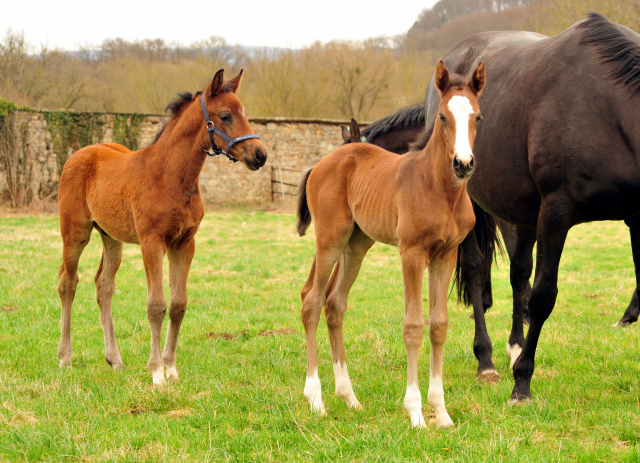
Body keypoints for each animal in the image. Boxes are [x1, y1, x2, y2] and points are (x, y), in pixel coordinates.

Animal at [55, 69, 264, 386]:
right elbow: (156, 305)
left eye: (245, 113)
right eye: (226, 115)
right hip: (75, 233)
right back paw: (65, 358)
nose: (259, 155)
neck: (170, 175)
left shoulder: (184, 243)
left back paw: (115, 361)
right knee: (68, 282)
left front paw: (171, 369)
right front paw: (156, 373)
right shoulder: (151, 242)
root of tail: (78, 155)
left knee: (104, 285)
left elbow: (178, 305)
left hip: (111, 237)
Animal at [296, 60, 484, 428]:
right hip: (330, 239)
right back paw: (316, 399)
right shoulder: (411, 252)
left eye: (478, 117)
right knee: (311, 299)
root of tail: (323, 162)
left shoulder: (446, 254)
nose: (463, 164)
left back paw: (349, 397)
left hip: (356, 244)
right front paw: (415, 413)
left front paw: (441, 412)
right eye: (442, 117)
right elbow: (413, 325)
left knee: (334, 303)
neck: (440, 190)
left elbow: (438, 324)